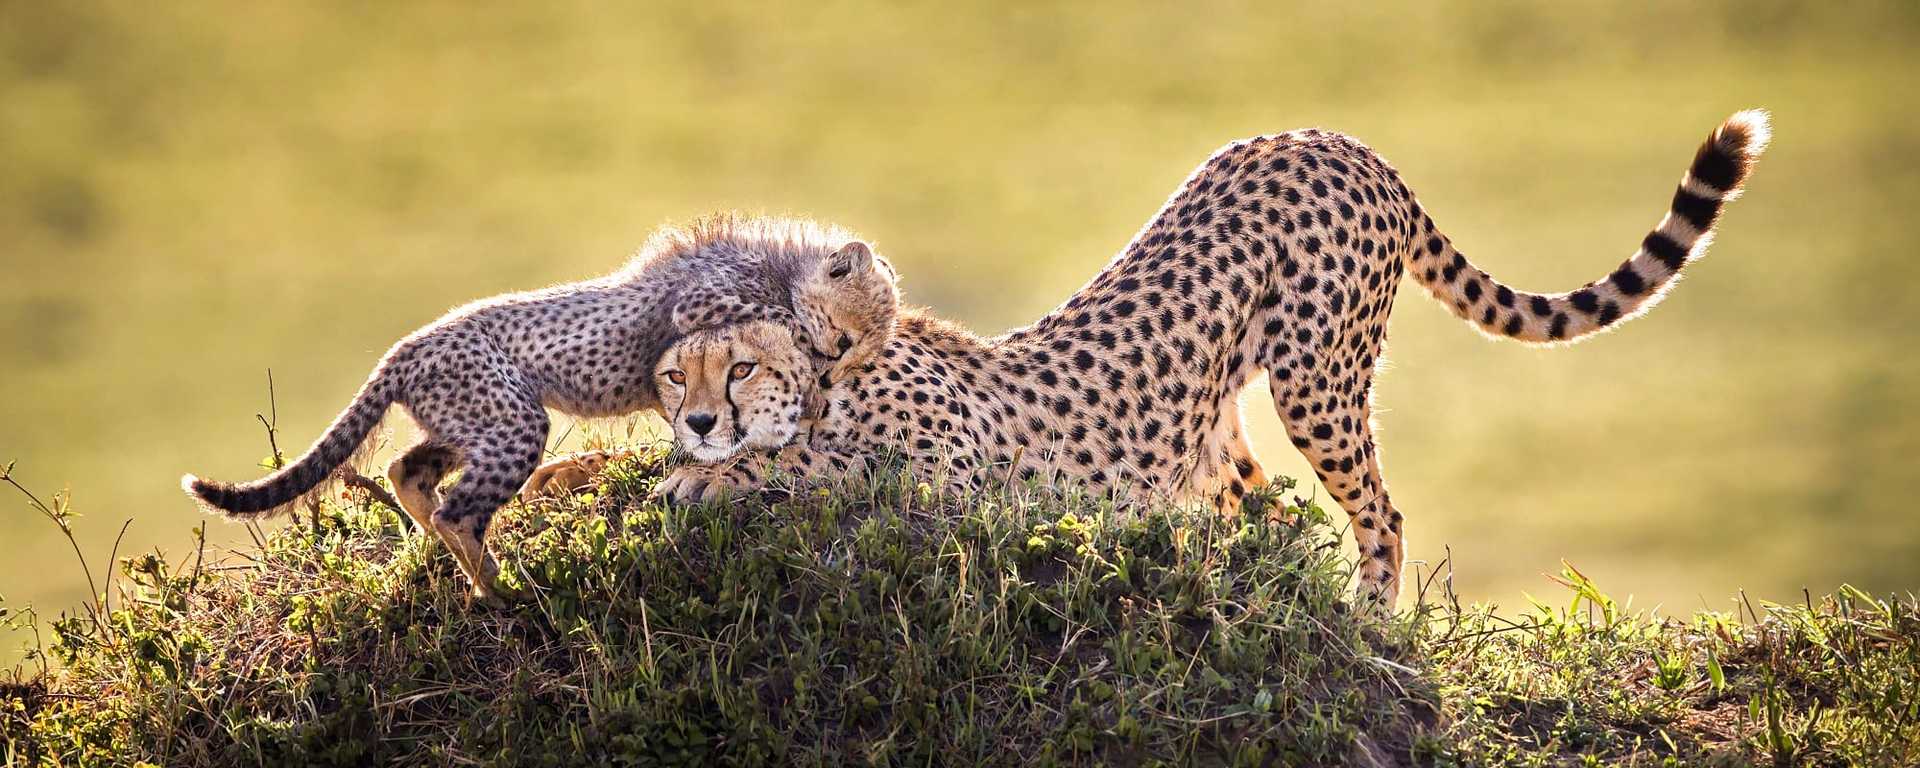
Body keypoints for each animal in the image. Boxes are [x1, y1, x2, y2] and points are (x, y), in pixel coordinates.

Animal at [672, 112, 1766, 606]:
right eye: (680, 371)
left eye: (734, 366)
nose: (693, 416)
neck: (831, 381)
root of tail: (1334, 139)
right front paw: (701, 474)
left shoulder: (958, 476)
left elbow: (825, 475)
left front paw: (715, 479)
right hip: (1221, 432)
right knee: (1275, 519)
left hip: (1318, 377)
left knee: (1379, 512)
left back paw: (1371, 624)